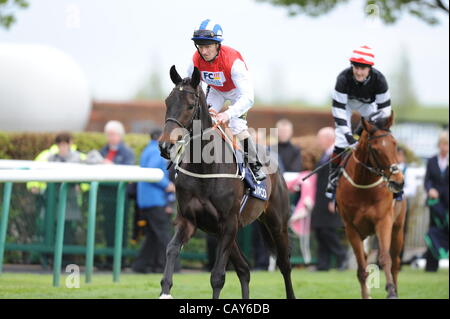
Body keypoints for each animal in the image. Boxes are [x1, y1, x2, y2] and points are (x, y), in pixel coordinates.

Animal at [157, 66, 296, 302]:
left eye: (190, 105)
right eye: (167, 102)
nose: (166, 146)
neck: (205, 169)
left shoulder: (228, 223)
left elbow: (217, 277)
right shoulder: (189, 220)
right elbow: (171, 249)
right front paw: (165, 291)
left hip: (277, 224)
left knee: (284, 264)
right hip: (222, 231)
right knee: (244, 269)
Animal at [338, 113, 408, 300]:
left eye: (395, 144)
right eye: (375, 149)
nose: (398, 182)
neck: (363, 186)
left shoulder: (383, 221)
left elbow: (385, 258)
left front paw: (391, 291)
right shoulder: (351, 229)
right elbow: (362, 268)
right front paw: (366, 294)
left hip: (398, 229)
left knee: (396, 262)